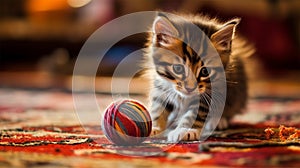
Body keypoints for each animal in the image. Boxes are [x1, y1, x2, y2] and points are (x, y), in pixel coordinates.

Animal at [143, 12, 248, 142]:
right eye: (178, 69)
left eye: (205, 72)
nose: (190, 88)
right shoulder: (161, 86)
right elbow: (158, 107)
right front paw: (154, 126)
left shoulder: (211, 92)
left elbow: (194, 114)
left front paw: (186, 130)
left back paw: (219, 121)